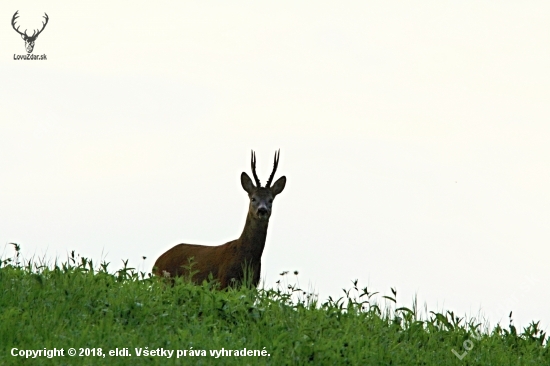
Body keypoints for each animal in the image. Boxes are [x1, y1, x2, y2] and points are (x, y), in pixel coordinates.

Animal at [153, 151, 286, 288]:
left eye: (270, 200)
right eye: (253, 198)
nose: (262, 210)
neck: (245, 258)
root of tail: (156, 263)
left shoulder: (252, 286)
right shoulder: (224, 282)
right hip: (166, 281)